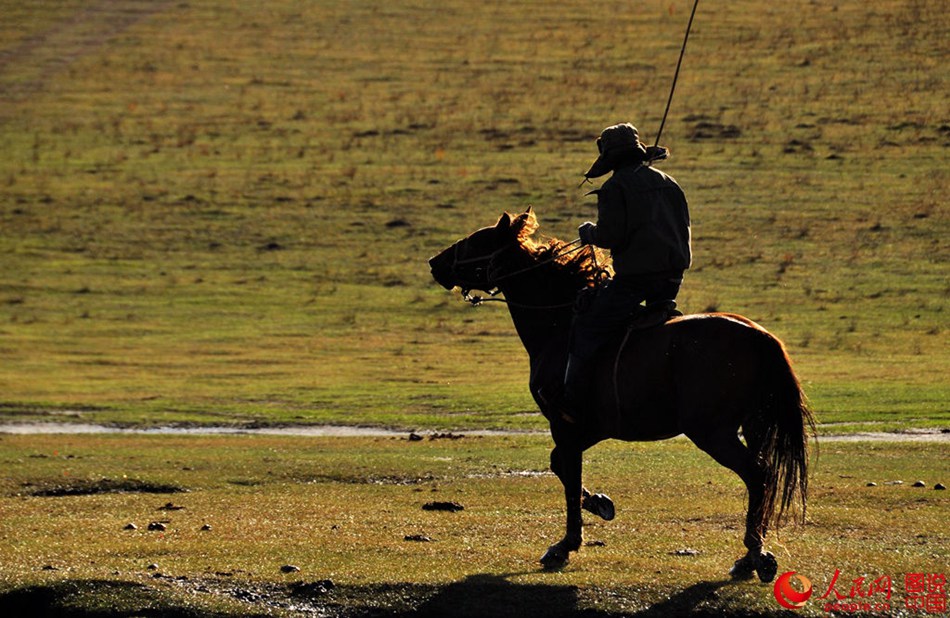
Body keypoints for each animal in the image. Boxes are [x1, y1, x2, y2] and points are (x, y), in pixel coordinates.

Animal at [428, 206, 816, 576]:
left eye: (477, 241)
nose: (435, 263)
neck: (559, 325)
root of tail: (758, 336)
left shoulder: (564, 425)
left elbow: (569, 477)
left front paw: (566, 544)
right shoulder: (590, 428)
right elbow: (560, 466)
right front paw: (600, 503)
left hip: (713, 432)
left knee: (758, 475)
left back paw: (754, 555)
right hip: (752, 426)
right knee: (762, 479)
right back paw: (753, 555)